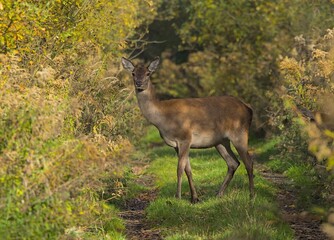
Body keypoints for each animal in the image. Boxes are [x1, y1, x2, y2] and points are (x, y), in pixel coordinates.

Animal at [121, 56, 254, 202]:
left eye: (148, 73)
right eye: (133, 73)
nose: (139, 83)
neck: (163, 119)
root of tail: (248, 109)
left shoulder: (185, 137)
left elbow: (179, 169)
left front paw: (178, 197)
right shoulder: (177, 144)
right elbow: (187, 169)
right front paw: (194, 198)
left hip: (240, 133)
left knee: (249, 162)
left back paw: (251, 195)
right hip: (221, 141)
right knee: (233, 163)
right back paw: (219, 194)